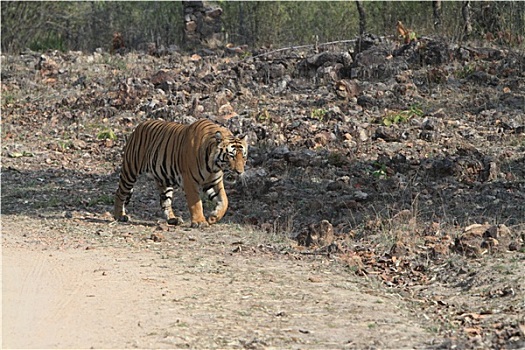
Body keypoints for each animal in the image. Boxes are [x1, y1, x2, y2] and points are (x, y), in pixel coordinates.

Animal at [113, 118, 248, 227]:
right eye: (231, 156)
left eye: (244, 156)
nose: (239, 172)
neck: (213, 166)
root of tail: (139, 126)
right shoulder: (190, 180)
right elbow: (196, 203)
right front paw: (200, 222)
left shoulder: (214, 182)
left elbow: (224, 201)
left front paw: (213, 217)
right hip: (130, 171)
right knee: (120, 193)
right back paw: (119, 215)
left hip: (164, 180)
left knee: (165, 201)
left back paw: (173, 219)